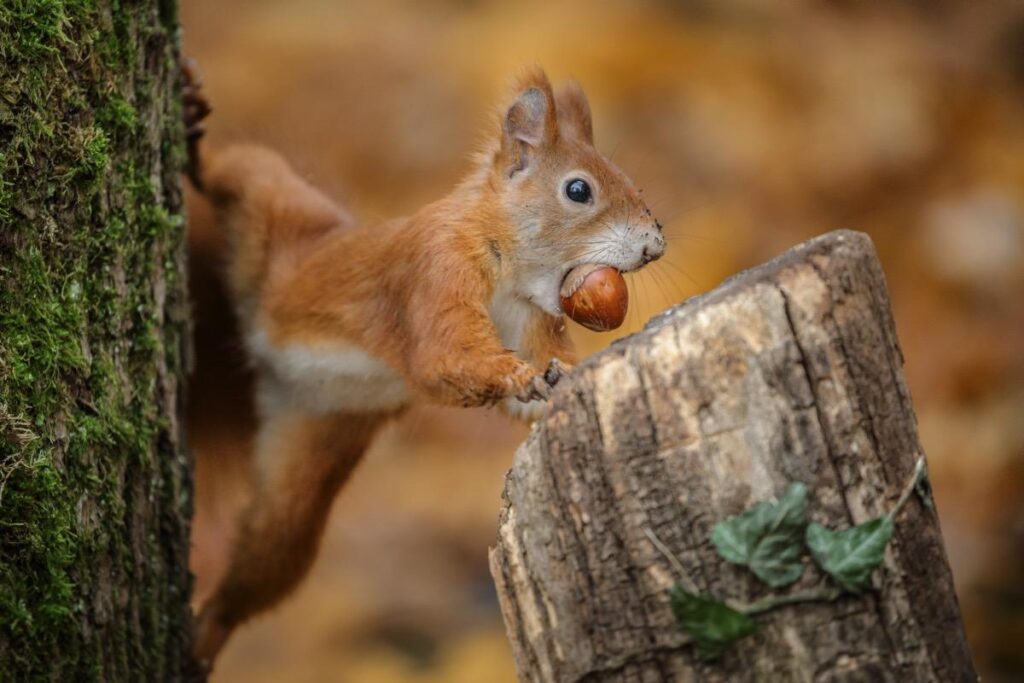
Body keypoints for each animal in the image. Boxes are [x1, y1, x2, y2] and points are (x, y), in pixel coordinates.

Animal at [183, 62, 663, 663]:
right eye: (579, 190)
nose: (654, 244)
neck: (510, 270)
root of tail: (259, 353)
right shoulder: (435, 269)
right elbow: (441, 354)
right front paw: (520, 376)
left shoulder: (528, 319)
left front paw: (558, 380)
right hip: (280, 208)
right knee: (238, 168)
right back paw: (191, 127)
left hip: (310, 458)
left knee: (264, 560)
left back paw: (208, 635)